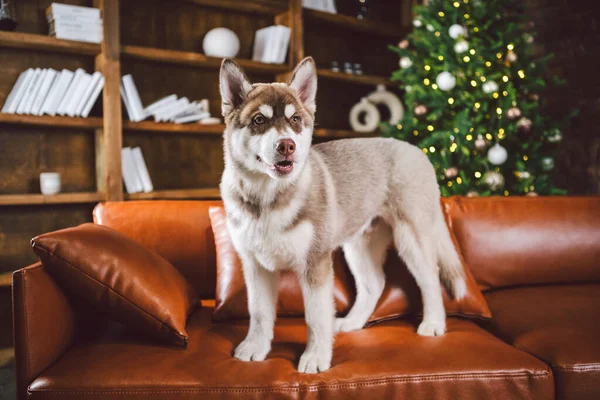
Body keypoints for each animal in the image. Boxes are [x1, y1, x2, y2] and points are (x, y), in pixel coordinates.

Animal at [218, 57, 466, 374]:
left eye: (295, 120)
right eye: (259, 120)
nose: (287, 145)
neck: (266, 199)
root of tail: (418, 151)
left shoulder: (315, 263)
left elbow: (315, 317)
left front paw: (315, 357)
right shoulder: (255, 265)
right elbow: (259, 313)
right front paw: (255, 348)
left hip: (411, 237)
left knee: (430, 278)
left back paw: (433, 323)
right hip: (358, 244)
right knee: (374, 284)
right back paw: (353, 322)